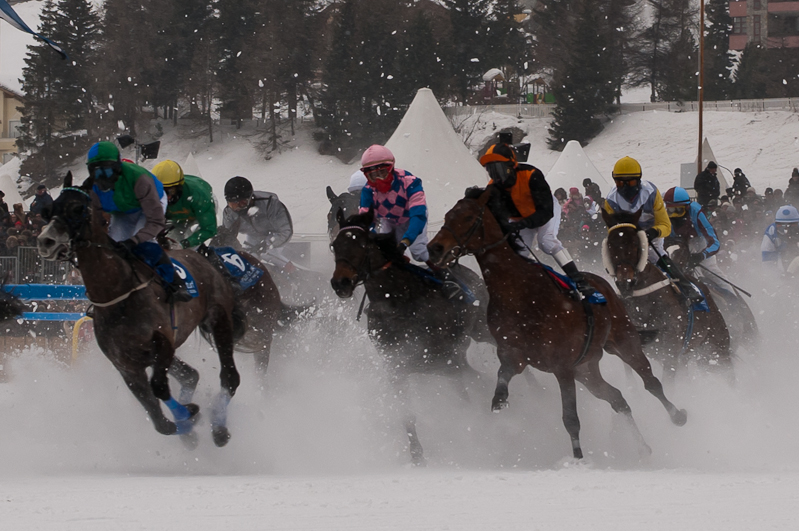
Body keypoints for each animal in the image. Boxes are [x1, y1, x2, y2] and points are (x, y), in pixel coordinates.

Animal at [36, 172, 241, 446]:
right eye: (49, 211)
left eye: (78, 208)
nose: (45, 241)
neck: (116, 294)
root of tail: (202, 256)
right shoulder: (127, 367)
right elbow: (160, 422)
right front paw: (187, 421)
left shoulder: (162, 343)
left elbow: (160, 388)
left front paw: (191, 414)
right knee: (191, 375)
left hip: (218, 318)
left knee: (229, 377)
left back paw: (219, 427)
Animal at [330, 208, 494, 466]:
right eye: (335, 246)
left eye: (362, 244)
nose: (340, 283)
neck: (399, 301)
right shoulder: (397, 366)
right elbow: (407, 413)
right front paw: (417, 454)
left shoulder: (448, 360)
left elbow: (469, 393)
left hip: (481, 329)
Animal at [424, 190, 688, 462]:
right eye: (447, 216)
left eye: (468, 217)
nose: (434, 248)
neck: (519, 294)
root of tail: (606, 286)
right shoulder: (515, 354)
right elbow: (503, 375)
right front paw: (500, 400)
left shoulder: (562, 367)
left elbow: (570, 419)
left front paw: (579, 458)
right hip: (586, 369)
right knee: (617, 398)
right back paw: (643, 447)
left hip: (624, 342)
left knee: (651, 382)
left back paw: (677, 416)